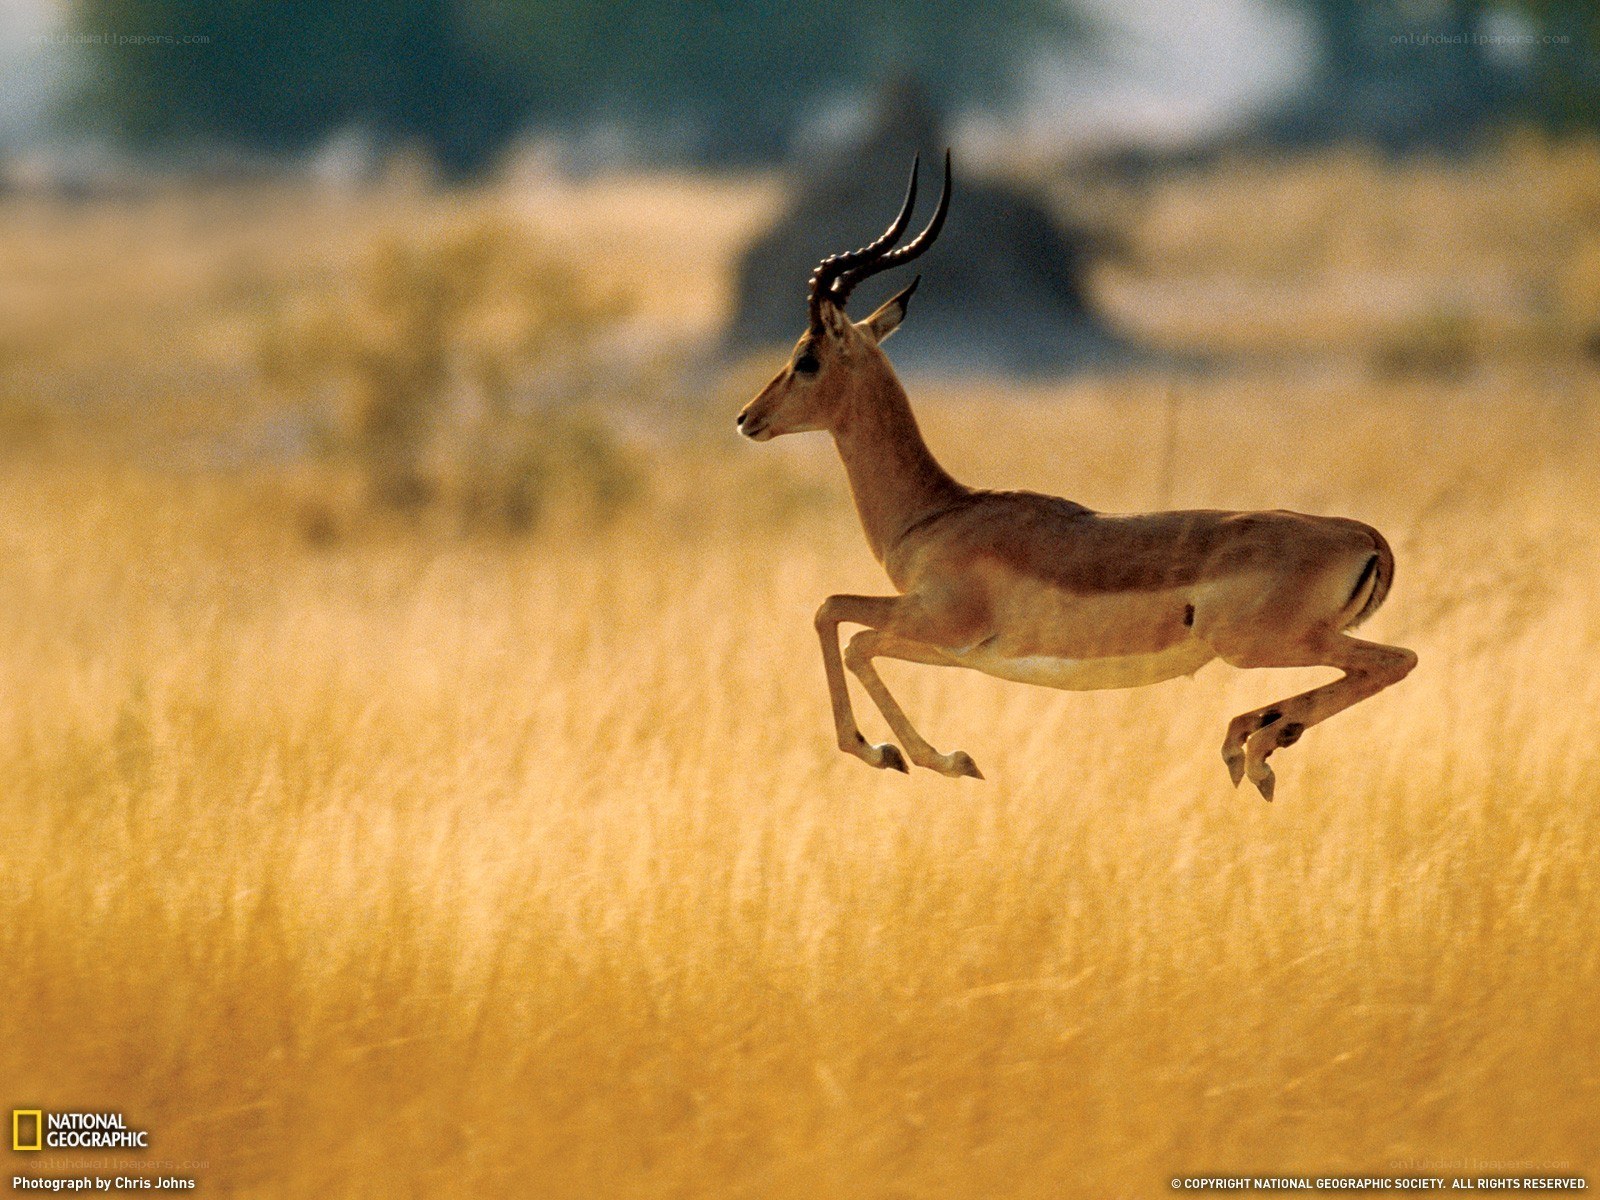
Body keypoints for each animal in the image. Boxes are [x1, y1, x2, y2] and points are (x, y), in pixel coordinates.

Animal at [735, 153, 1416, 800]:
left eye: (806, 357)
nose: (747, 418)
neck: (937, 514)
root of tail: (1364, 536)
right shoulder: (960, 652)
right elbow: (847, 629)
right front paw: (927, 757)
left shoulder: (939, 622)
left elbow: (837, 620)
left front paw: (911, 756)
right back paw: (1252, 741)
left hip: (1263, 644)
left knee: (1396, 660)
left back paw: (1254, 748)